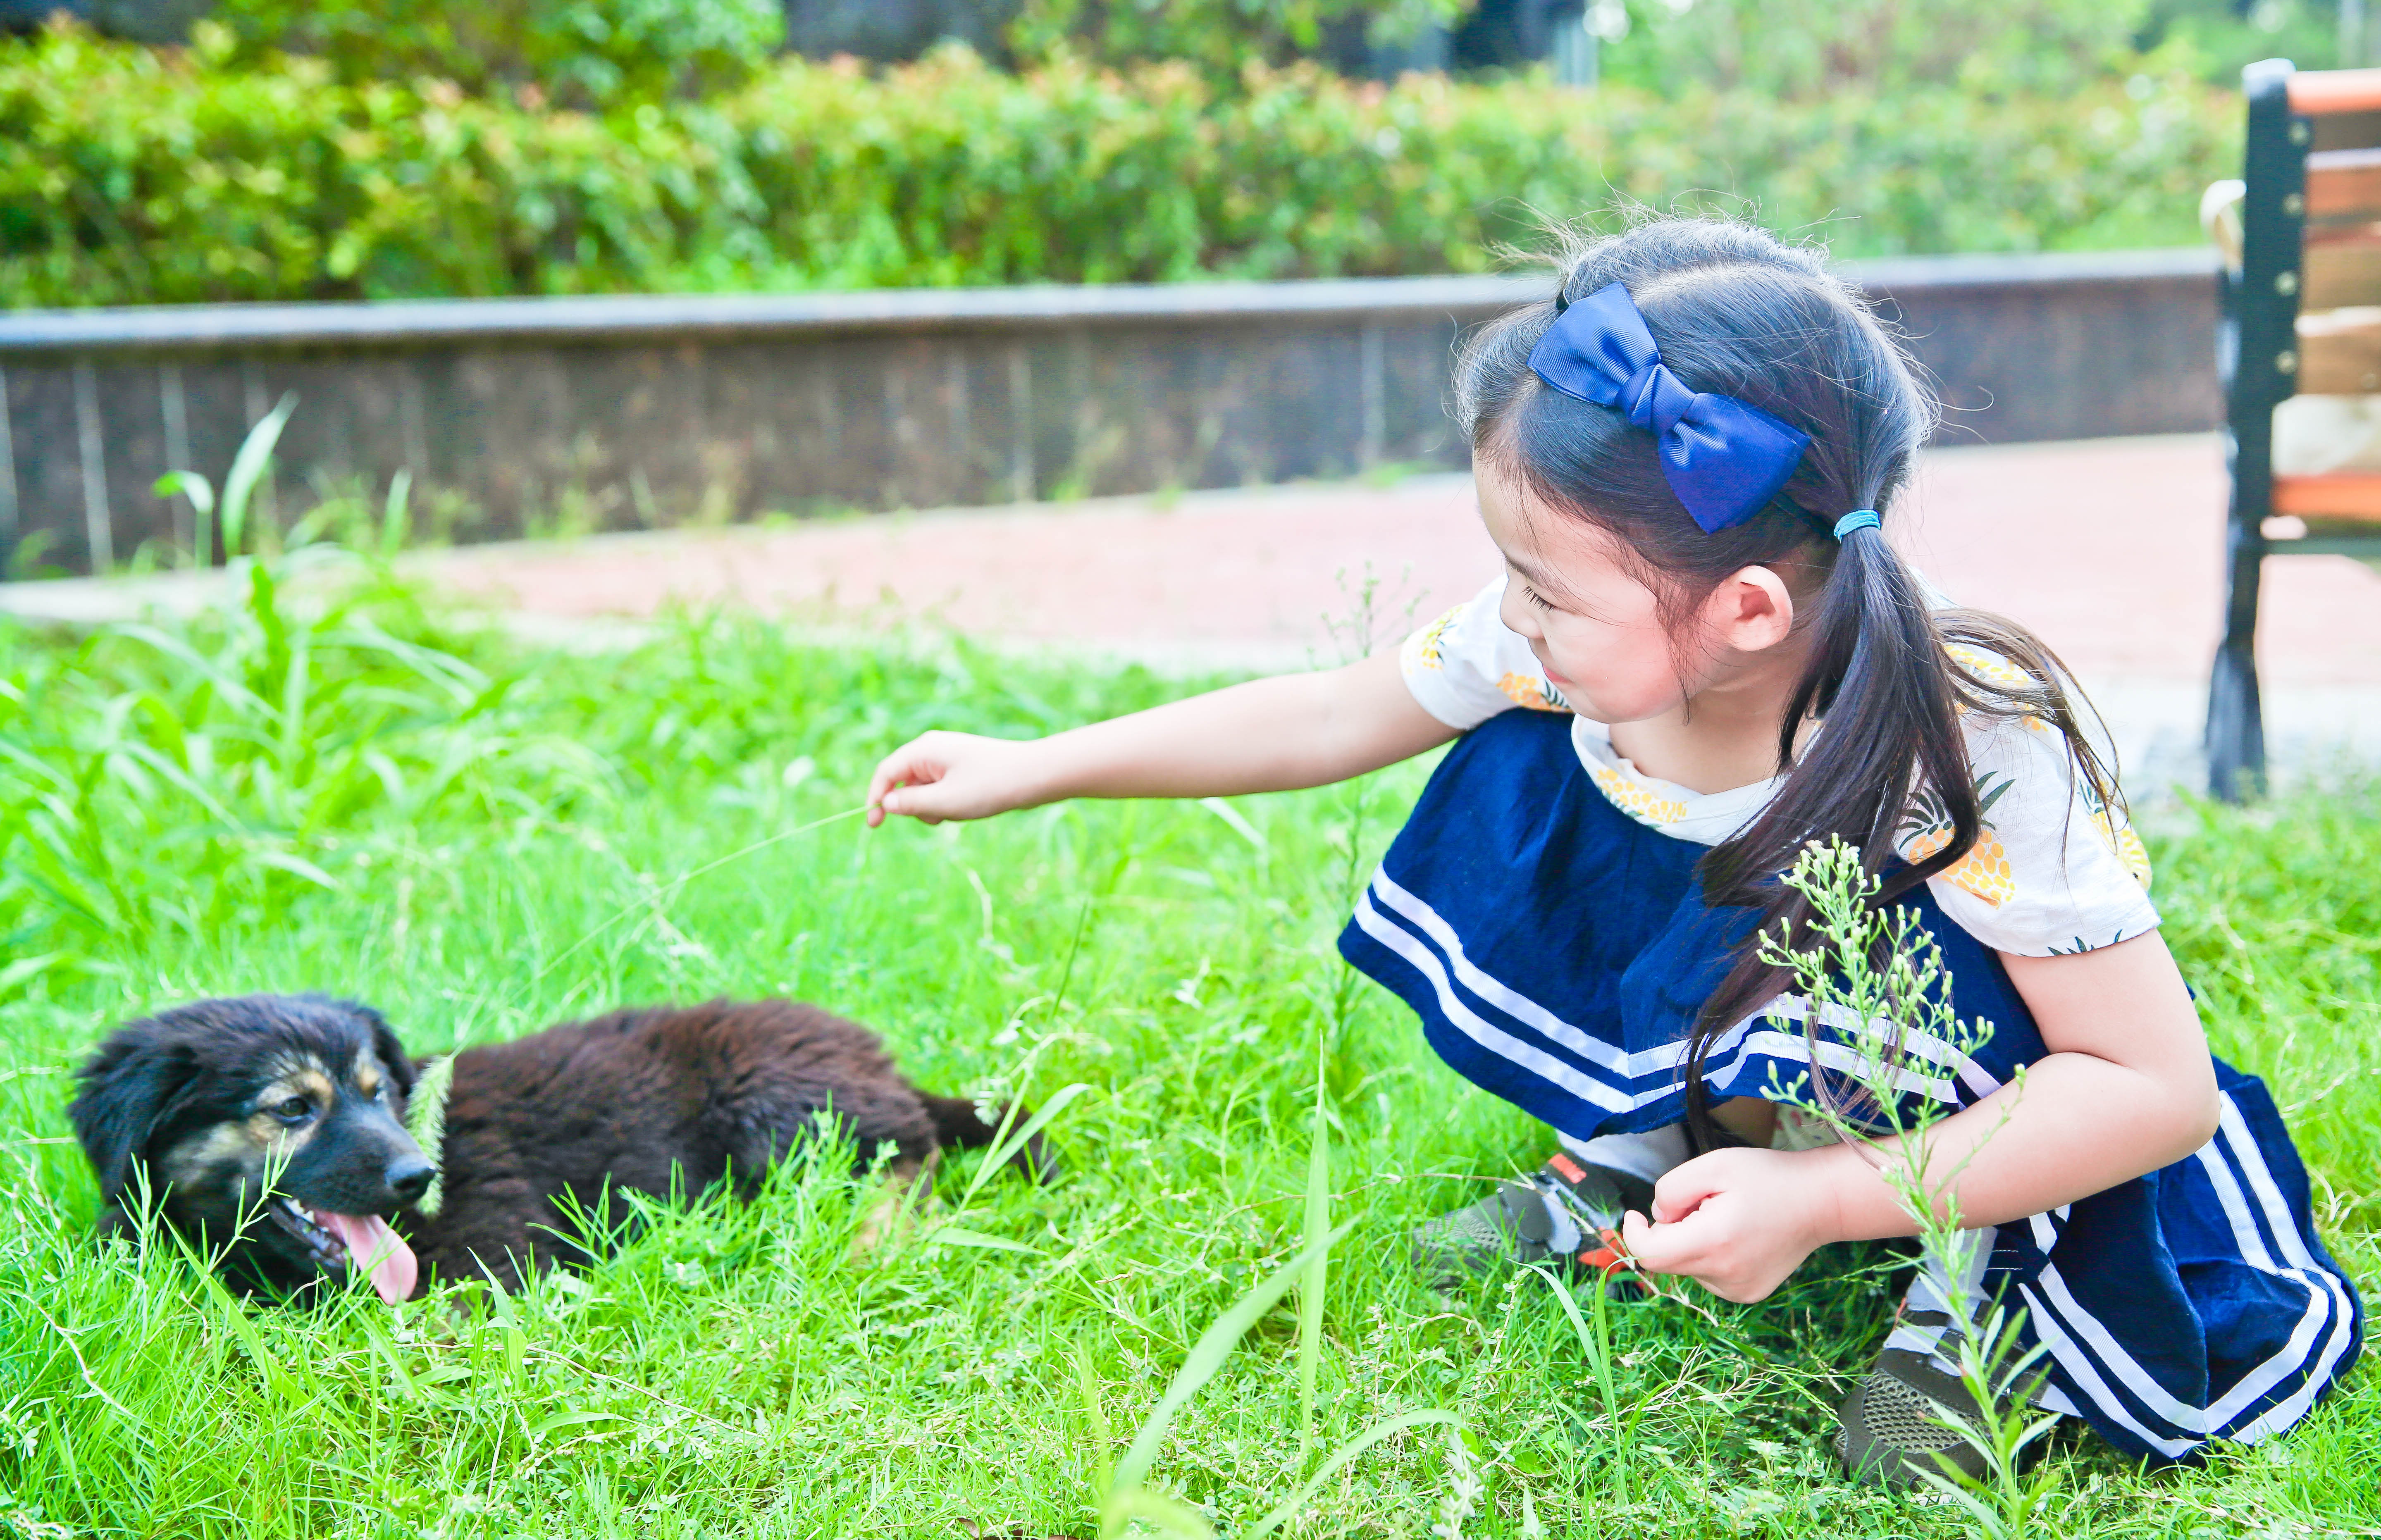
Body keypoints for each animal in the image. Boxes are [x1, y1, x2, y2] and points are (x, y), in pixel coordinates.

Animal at [72, 999, 1043, 1304]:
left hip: (780, 1101)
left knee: (904, 1159)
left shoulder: (495, 1257)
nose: (419, 1177)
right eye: (293, 1109)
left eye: (379, 1092)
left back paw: (876, 1245)